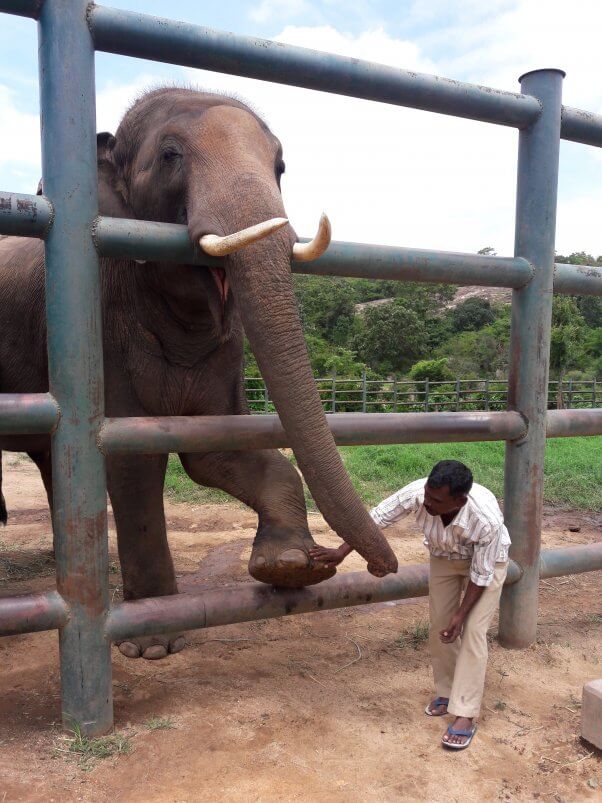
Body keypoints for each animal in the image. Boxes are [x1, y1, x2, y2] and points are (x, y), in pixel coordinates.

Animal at [1, 89, 398, 660]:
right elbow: (133, 457)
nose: (380, 567)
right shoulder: (102, 324)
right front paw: (152, 645)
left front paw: (288, 566)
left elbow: (214, 447)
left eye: (281, 166)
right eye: (171, 155)